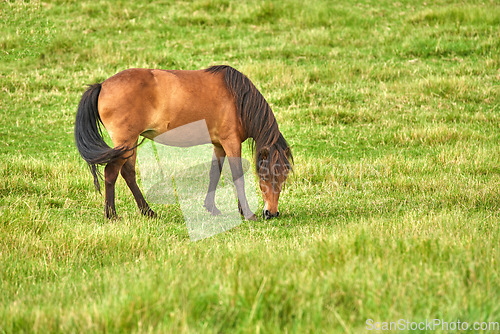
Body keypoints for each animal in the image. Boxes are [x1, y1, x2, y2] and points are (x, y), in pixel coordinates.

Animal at [74, 65, 292, 222]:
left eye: (284, 177)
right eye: (266, 176)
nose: (271, 213)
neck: (237, 99)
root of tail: (102, 85)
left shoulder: (218, 145)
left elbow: (214, 173)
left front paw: (211, 207)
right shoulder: (231, 142)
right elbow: (238, 176)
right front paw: (247, 213)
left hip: (130, 143)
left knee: (128, 173)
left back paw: (147, 211)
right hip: (125, 143)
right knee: (111, 173)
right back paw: (112, 214)